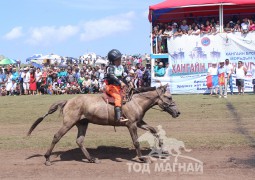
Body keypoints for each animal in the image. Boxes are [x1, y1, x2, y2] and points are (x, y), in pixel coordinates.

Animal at [27, 84, 179, 166]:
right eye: (169, 97)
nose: (178, 112)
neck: (136, 101)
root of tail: (68, 101)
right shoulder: (131, 125)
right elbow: (136, 142)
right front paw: (142, 158)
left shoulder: (139, 122)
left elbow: (154, 130)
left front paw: (162, 148)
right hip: (68, 123)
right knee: (56, 136)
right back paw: (47, 159)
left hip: (82, 124)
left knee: (79, 141)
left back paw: (91, 159)